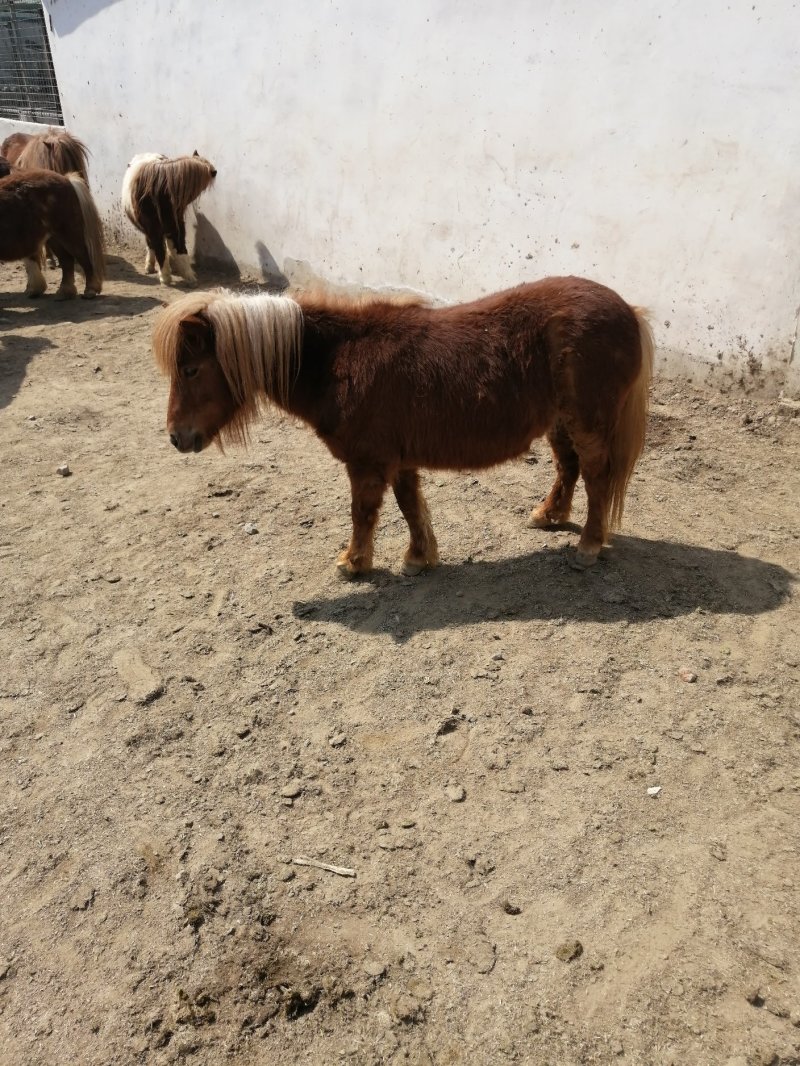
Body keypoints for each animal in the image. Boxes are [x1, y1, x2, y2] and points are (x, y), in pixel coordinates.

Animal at [0, 169, 105, 299]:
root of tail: (67, 180)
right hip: (54, 238)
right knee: (66, 260)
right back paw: (64, 291)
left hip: (68, 234)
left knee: (83, 256)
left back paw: (90, 290)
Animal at [122, 151, 217, 286]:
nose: (214, 171)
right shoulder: (167, 227)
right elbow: (168, 249)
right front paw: (176, 275)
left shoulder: (170, 227)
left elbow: (171, 249)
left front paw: (176, 276)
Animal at [153, 276, 654, 574]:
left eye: (191, 370)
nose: (177, 437)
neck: (338, 360)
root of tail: (628, 310)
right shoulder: (398, 459)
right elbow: (410, 505)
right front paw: (418, 557)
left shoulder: (367, 463)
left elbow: (364, 512)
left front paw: (354, 563)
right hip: (560, 423)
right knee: (568, 468)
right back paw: (548, 516)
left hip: (588, 424)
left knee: (596, 476)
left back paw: (588, 545)